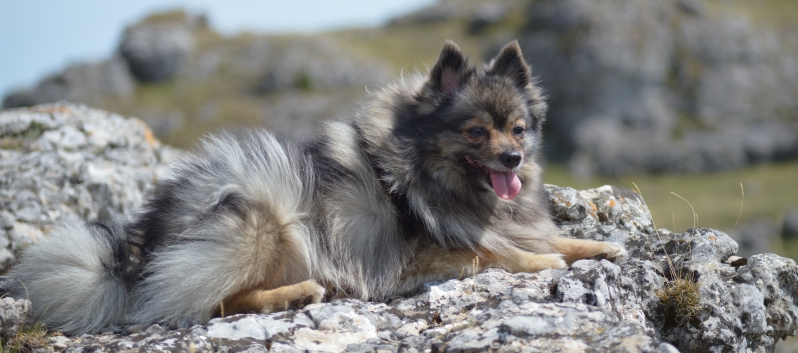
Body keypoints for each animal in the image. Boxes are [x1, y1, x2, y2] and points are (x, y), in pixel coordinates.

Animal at [3, 40, 628, 332]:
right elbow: (503, 253)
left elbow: (547, 238)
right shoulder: (432, 253)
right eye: (477, 131)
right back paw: (296, 293)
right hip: (260, 215)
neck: (427, 171)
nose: (514, 158)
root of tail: (137, 254)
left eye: (518, 128)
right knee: (211, 302)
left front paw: (601, 245)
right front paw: (544, 263)